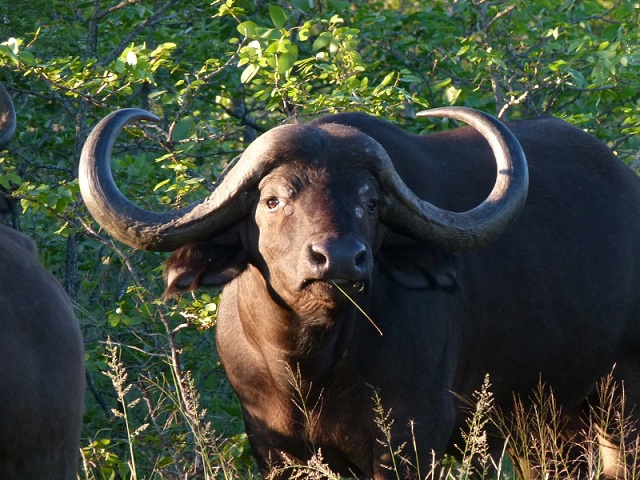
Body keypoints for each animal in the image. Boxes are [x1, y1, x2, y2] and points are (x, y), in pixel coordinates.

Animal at [80, 105, 640, 478]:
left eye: (370, 202)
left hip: (619, 409)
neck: (308, 367)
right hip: (548, 427)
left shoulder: (410, 440)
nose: (340, 259)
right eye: (272, 199)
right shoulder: (273, 448)